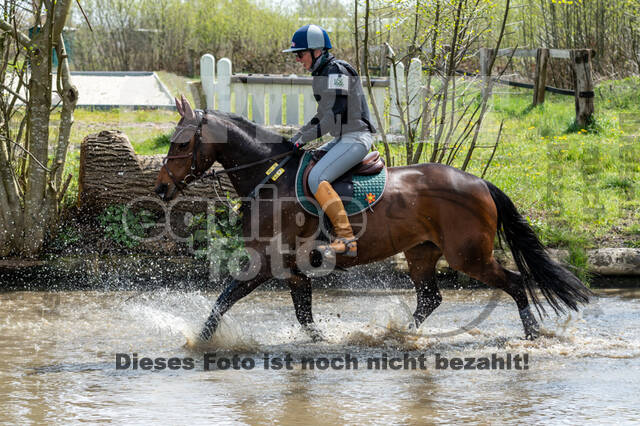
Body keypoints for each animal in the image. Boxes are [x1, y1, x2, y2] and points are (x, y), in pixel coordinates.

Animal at [154, 95, 592, 342]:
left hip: (469, 257)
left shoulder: (264, 263)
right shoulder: (292, 269)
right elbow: (304, 315)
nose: (160, 189)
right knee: (430, 298)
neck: (269, 177)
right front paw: (323, 341)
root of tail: (479, 181)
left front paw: (198, 343)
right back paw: (396, 336)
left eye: (181, 143)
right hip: (422, 253)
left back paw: (531, 335)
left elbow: (222, 302)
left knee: (515, 284)